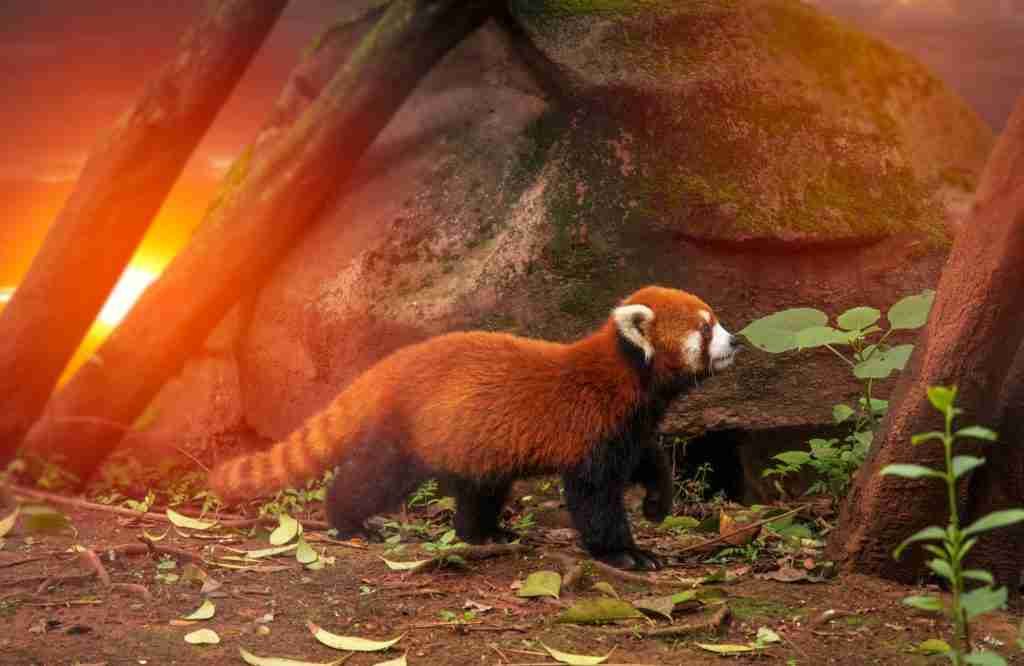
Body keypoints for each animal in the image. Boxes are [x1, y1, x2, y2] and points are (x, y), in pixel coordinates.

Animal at [209, 282, 737, 569]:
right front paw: (626, 554)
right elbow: (593, 499)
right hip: (412, 433)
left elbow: (651, 461)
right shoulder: (593, 427)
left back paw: (483, 533)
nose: (735, 342)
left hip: (474, 439)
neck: (628, 376)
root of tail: (396, 363)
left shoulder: (633, 426)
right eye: (705, 328)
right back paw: (349, 521)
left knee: (480, 487)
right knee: (376, 476)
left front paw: (657, 504)